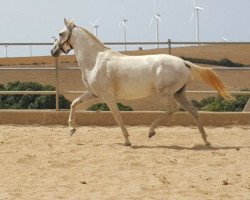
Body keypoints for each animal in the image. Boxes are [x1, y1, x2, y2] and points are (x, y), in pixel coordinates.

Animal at [50, 18, 232, 146]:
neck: (95, 60)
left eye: (59, 34)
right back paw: (205, 140)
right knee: (193, 111)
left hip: (166, 93)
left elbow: (117, 116)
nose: (52, 51)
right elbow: (74, 103)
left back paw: (151, 131)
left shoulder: (107, 96)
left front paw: (127, 140)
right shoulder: (93, 93)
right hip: (179, 93)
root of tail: (184, 63)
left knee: (173, 109)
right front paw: (72, 129)